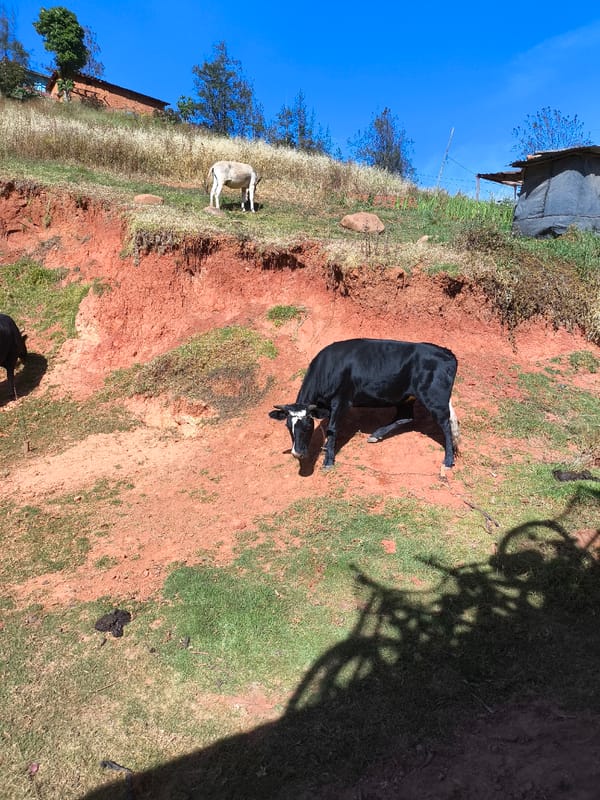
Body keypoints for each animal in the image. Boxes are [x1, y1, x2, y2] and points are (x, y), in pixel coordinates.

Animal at [269, 338, 460, 471]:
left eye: (308, 425)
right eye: (288, 426)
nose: (297, 453)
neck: (328, 368)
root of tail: (446, 352)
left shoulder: (341, 401)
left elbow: (332, 429)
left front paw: (328, 460)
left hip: (435, 398)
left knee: (445, 425)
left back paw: (448, 460)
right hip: (406, 397)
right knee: (406, 417)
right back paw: (376, 435)